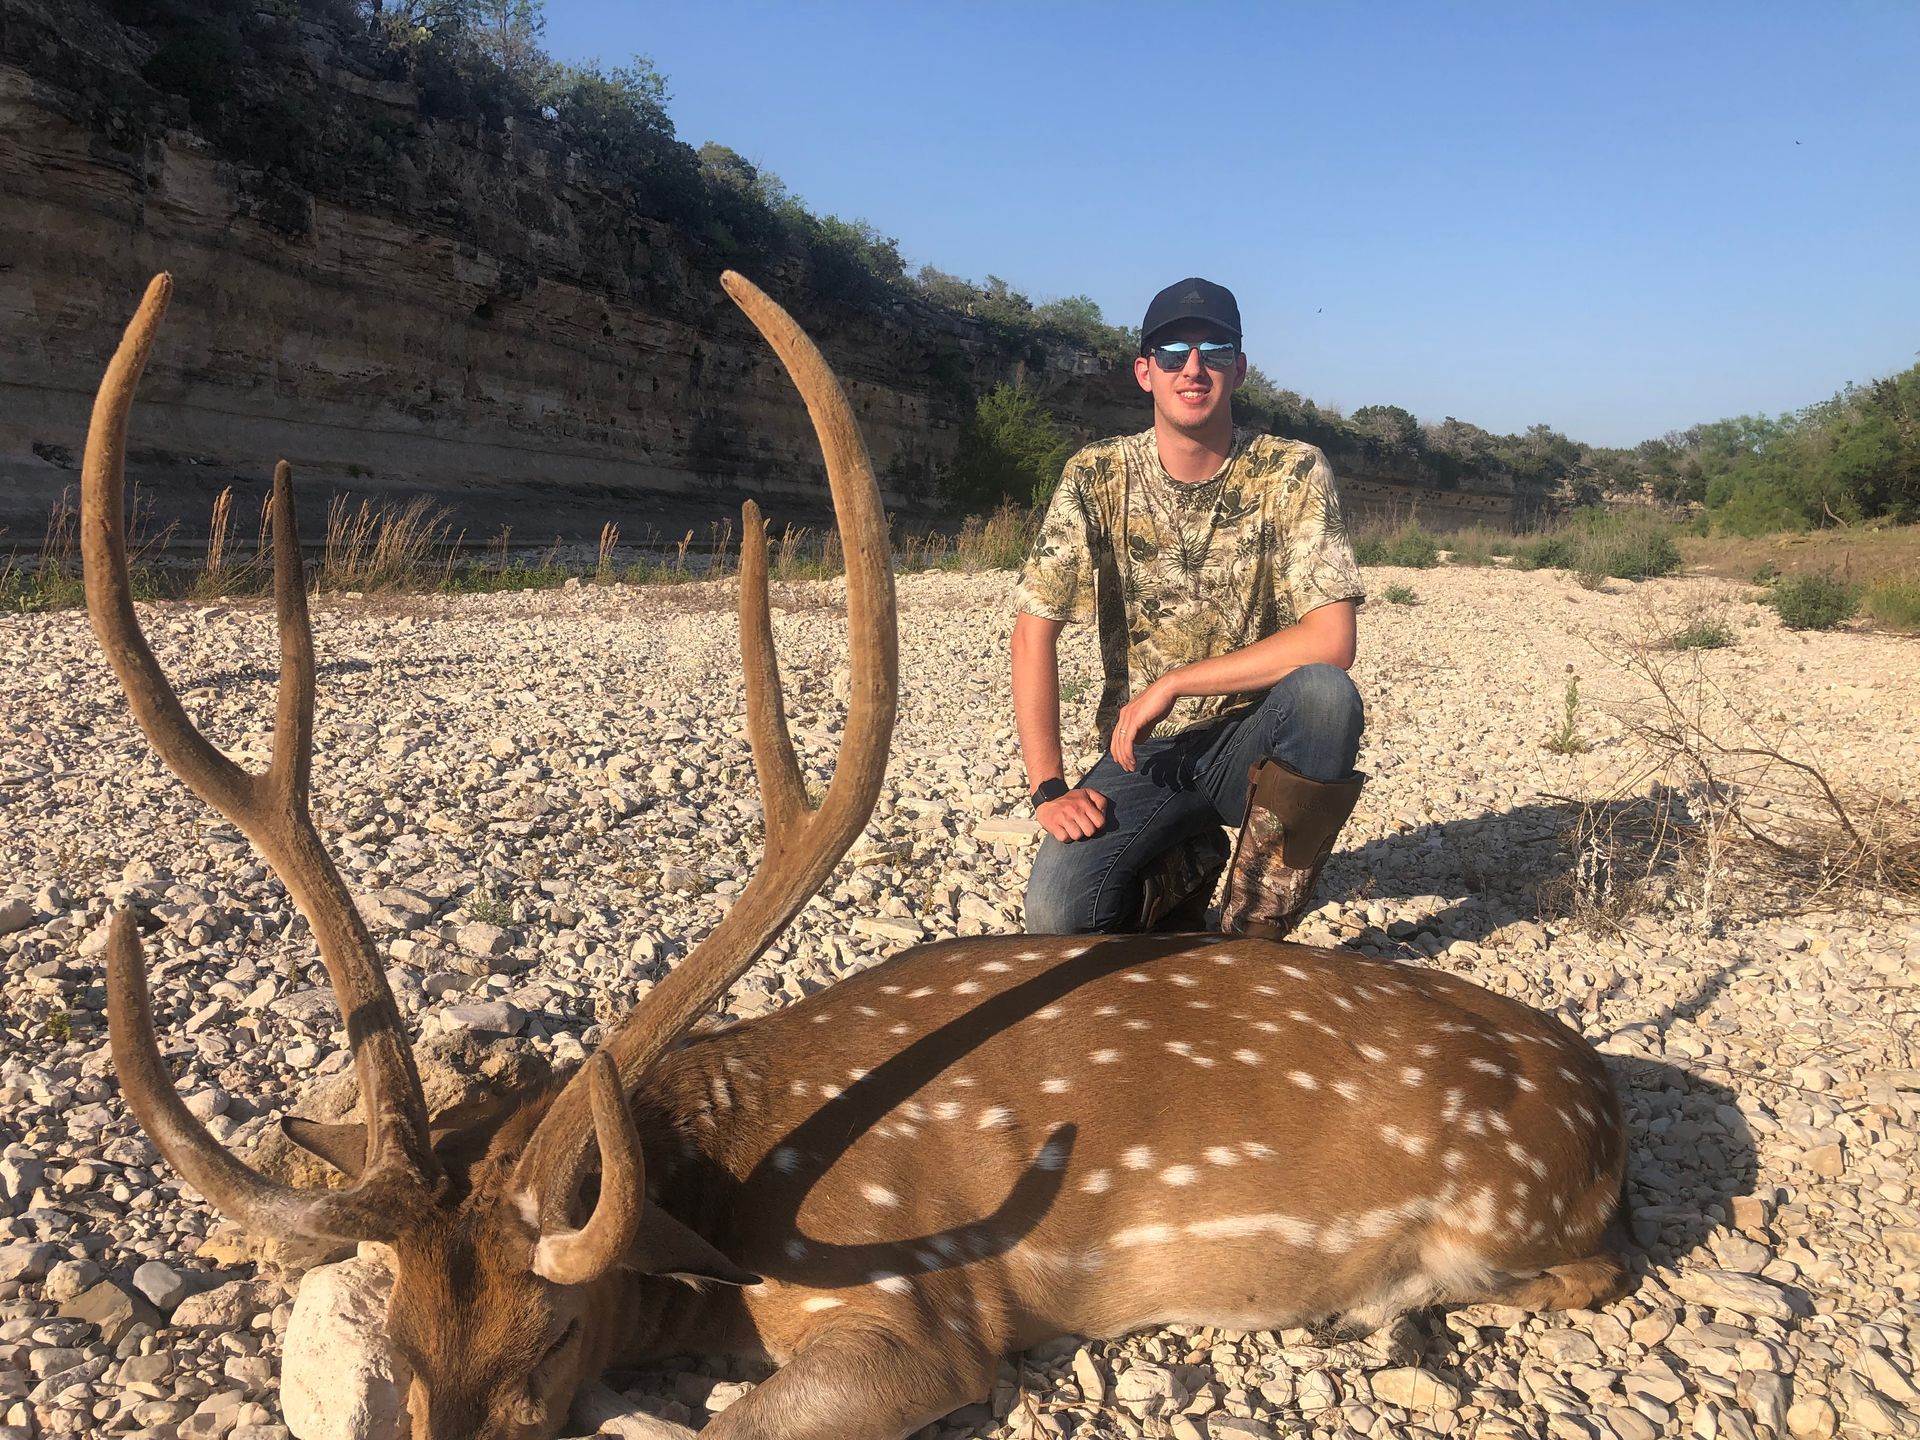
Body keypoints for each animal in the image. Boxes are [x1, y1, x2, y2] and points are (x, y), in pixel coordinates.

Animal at [81, 271, 1633, 1440]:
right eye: (404, 1345)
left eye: (555, 1336)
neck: (728, 1199)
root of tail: (1611, 1110)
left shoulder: (917, 1306)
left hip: (1514, 1214)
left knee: (1593, 1271)